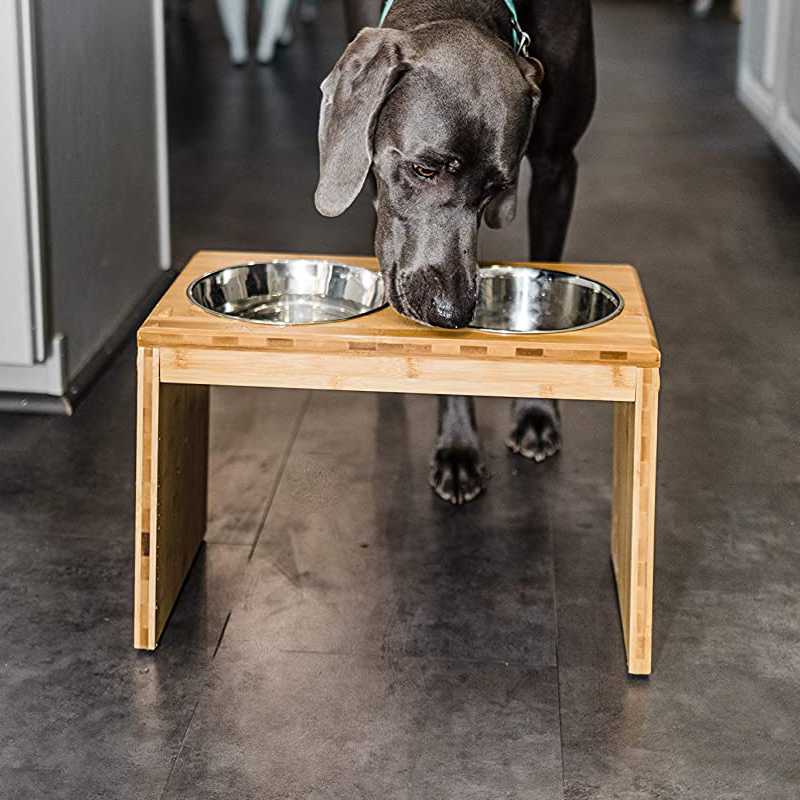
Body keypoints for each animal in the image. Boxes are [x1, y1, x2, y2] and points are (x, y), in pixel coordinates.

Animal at [316, 0, 596, 500]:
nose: (452, 312)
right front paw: (459, 446)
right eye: (424, 169)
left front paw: (535, 411)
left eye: (497, 189)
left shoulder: (557, 168)